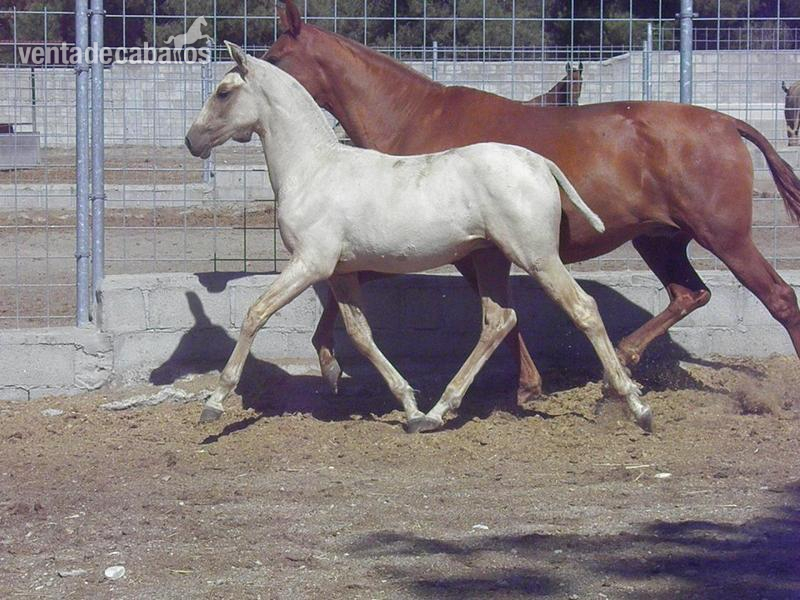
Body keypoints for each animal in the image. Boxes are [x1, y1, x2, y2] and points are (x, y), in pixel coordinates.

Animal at [185, 43, 653, 433]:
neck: (314, 169)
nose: (191, 140)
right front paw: (408, 406)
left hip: (536, 257)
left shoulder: (309, 263)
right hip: (490, 258)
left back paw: (637, 407)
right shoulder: (340, 273)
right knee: (498, 321)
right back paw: (436, 412)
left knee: (583, 310)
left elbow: (255, 314)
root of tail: (540, 163)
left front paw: (214, 403)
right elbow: (361, 334)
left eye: (223, 92)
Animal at [264, 0, 800, 403]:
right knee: (690, 294)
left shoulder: (460, 249)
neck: (415, 119)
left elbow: (500, 316)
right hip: (659, 239)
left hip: (725, 236)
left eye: (273, 59)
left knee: (780, 298)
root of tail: (727, 122)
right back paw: (624, 359)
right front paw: (328, 362)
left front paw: (528, 386)